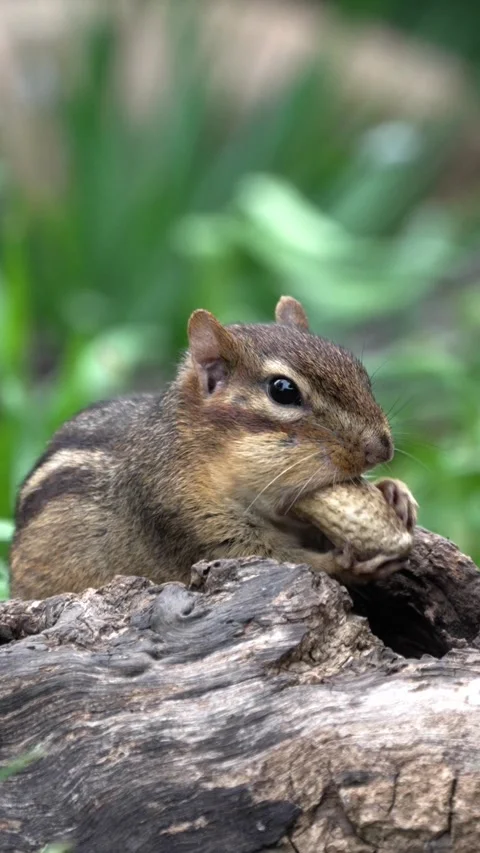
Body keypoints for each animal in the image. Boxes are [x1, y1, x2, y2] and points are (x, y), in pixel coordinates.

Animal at [9, 296, 417, 600]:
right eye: (283, 390)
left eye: (359, 372)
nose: (381, 449)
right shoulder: (183, 518)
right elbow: (274, 558)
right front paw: (345, 564)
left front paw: (394, 492)